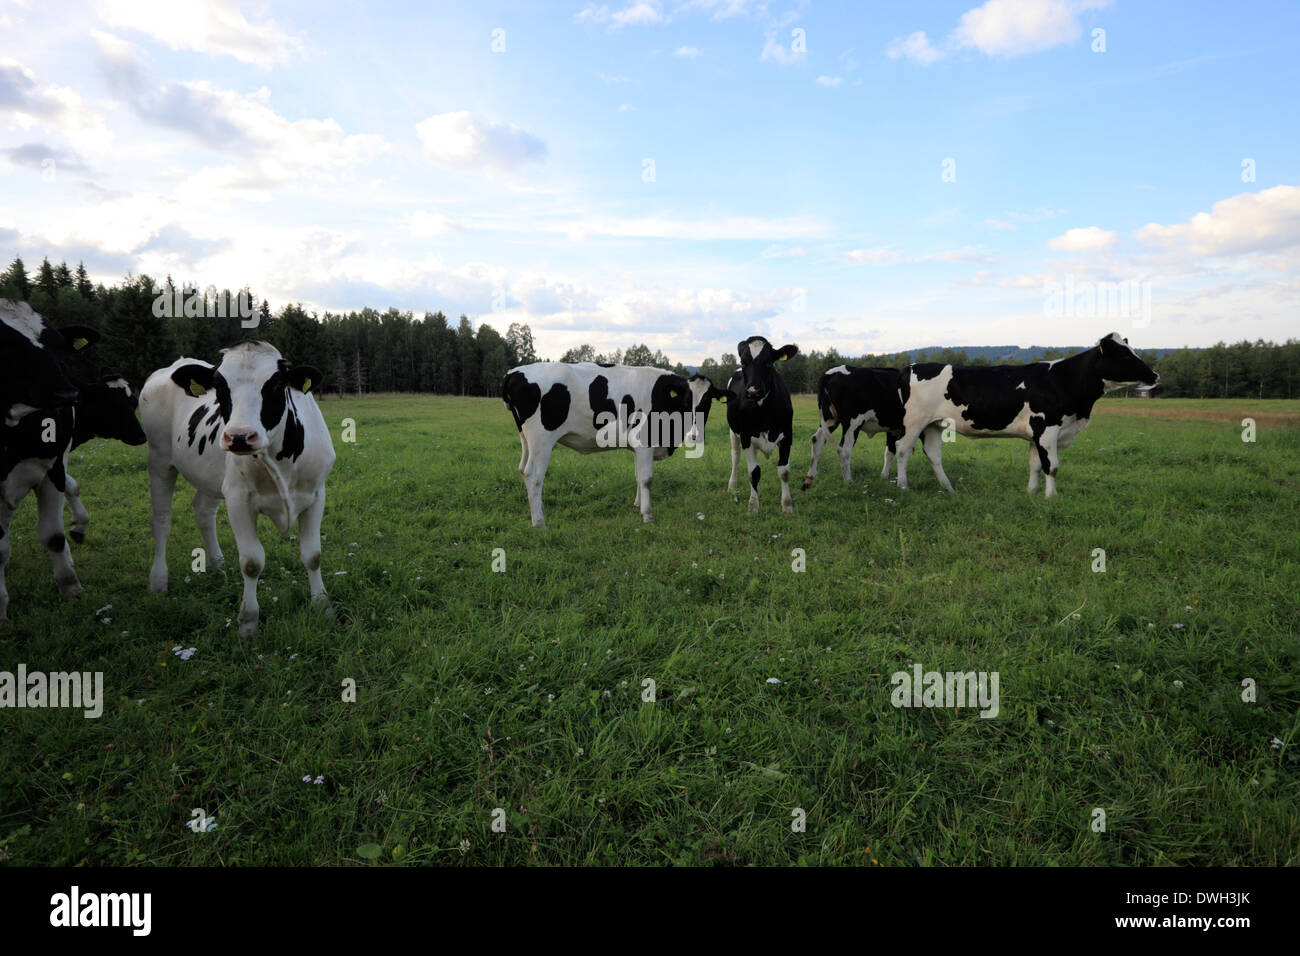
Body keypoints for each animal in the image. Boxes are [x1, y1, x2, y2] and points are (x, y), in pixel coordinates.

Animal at [139, 341, 334, 637]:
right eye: (220, 387)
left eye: (276, 385)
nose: (240, 437)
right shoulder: (238, 499)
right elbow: (252, 562)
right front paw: (248, 621)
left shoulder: (316, 494)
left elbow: (313, 555)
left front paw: (321, 606)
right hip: (159, 460)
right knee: (161, 521)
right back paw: (158, 580)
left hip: (211, 476)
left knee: (203, 510)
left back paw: (217, 564)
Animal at [501, 363, 719, 527]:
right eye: (686, 401)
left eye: (708, 401)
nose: (694, 435)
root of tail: (514, 372)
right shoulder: (644, 442)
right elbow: (646, 479)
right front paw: (647, 515)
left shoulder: (637, 447)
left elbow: (638, 475)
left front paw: (637, 504)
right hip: (541, 441)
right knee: (534, 476)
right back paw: (539, 522)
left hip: (526, 440)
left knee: (523, 470)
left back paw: (539, 510)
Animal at [725, 337, 798, 515]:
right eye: (743, 362)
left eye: (768, 362)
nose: (753, 391)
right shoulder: (746, 437)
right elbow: (754, 473)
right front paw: (753, 506)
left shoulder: (787, 436)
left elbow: (784, 471)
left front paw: (787, 506)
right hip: (733, 432)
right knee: (735, 456)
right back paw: (732, 488)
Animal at [891, 333, 1159, 498]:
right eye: (1123, 355)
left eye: (1133, 351)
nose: (1155, 375)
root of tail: (910, 367)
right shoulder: (1047, 429)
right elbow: (1052, 466)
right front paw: (1052, 498)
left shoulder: (1037, 435)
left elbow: (1035, 465)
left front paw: (1032, 493)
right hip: (914, 422)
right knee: (902, 450)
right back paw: (903, 487)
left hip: (934, 424)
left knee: (933, 454)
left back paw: (948, 489)